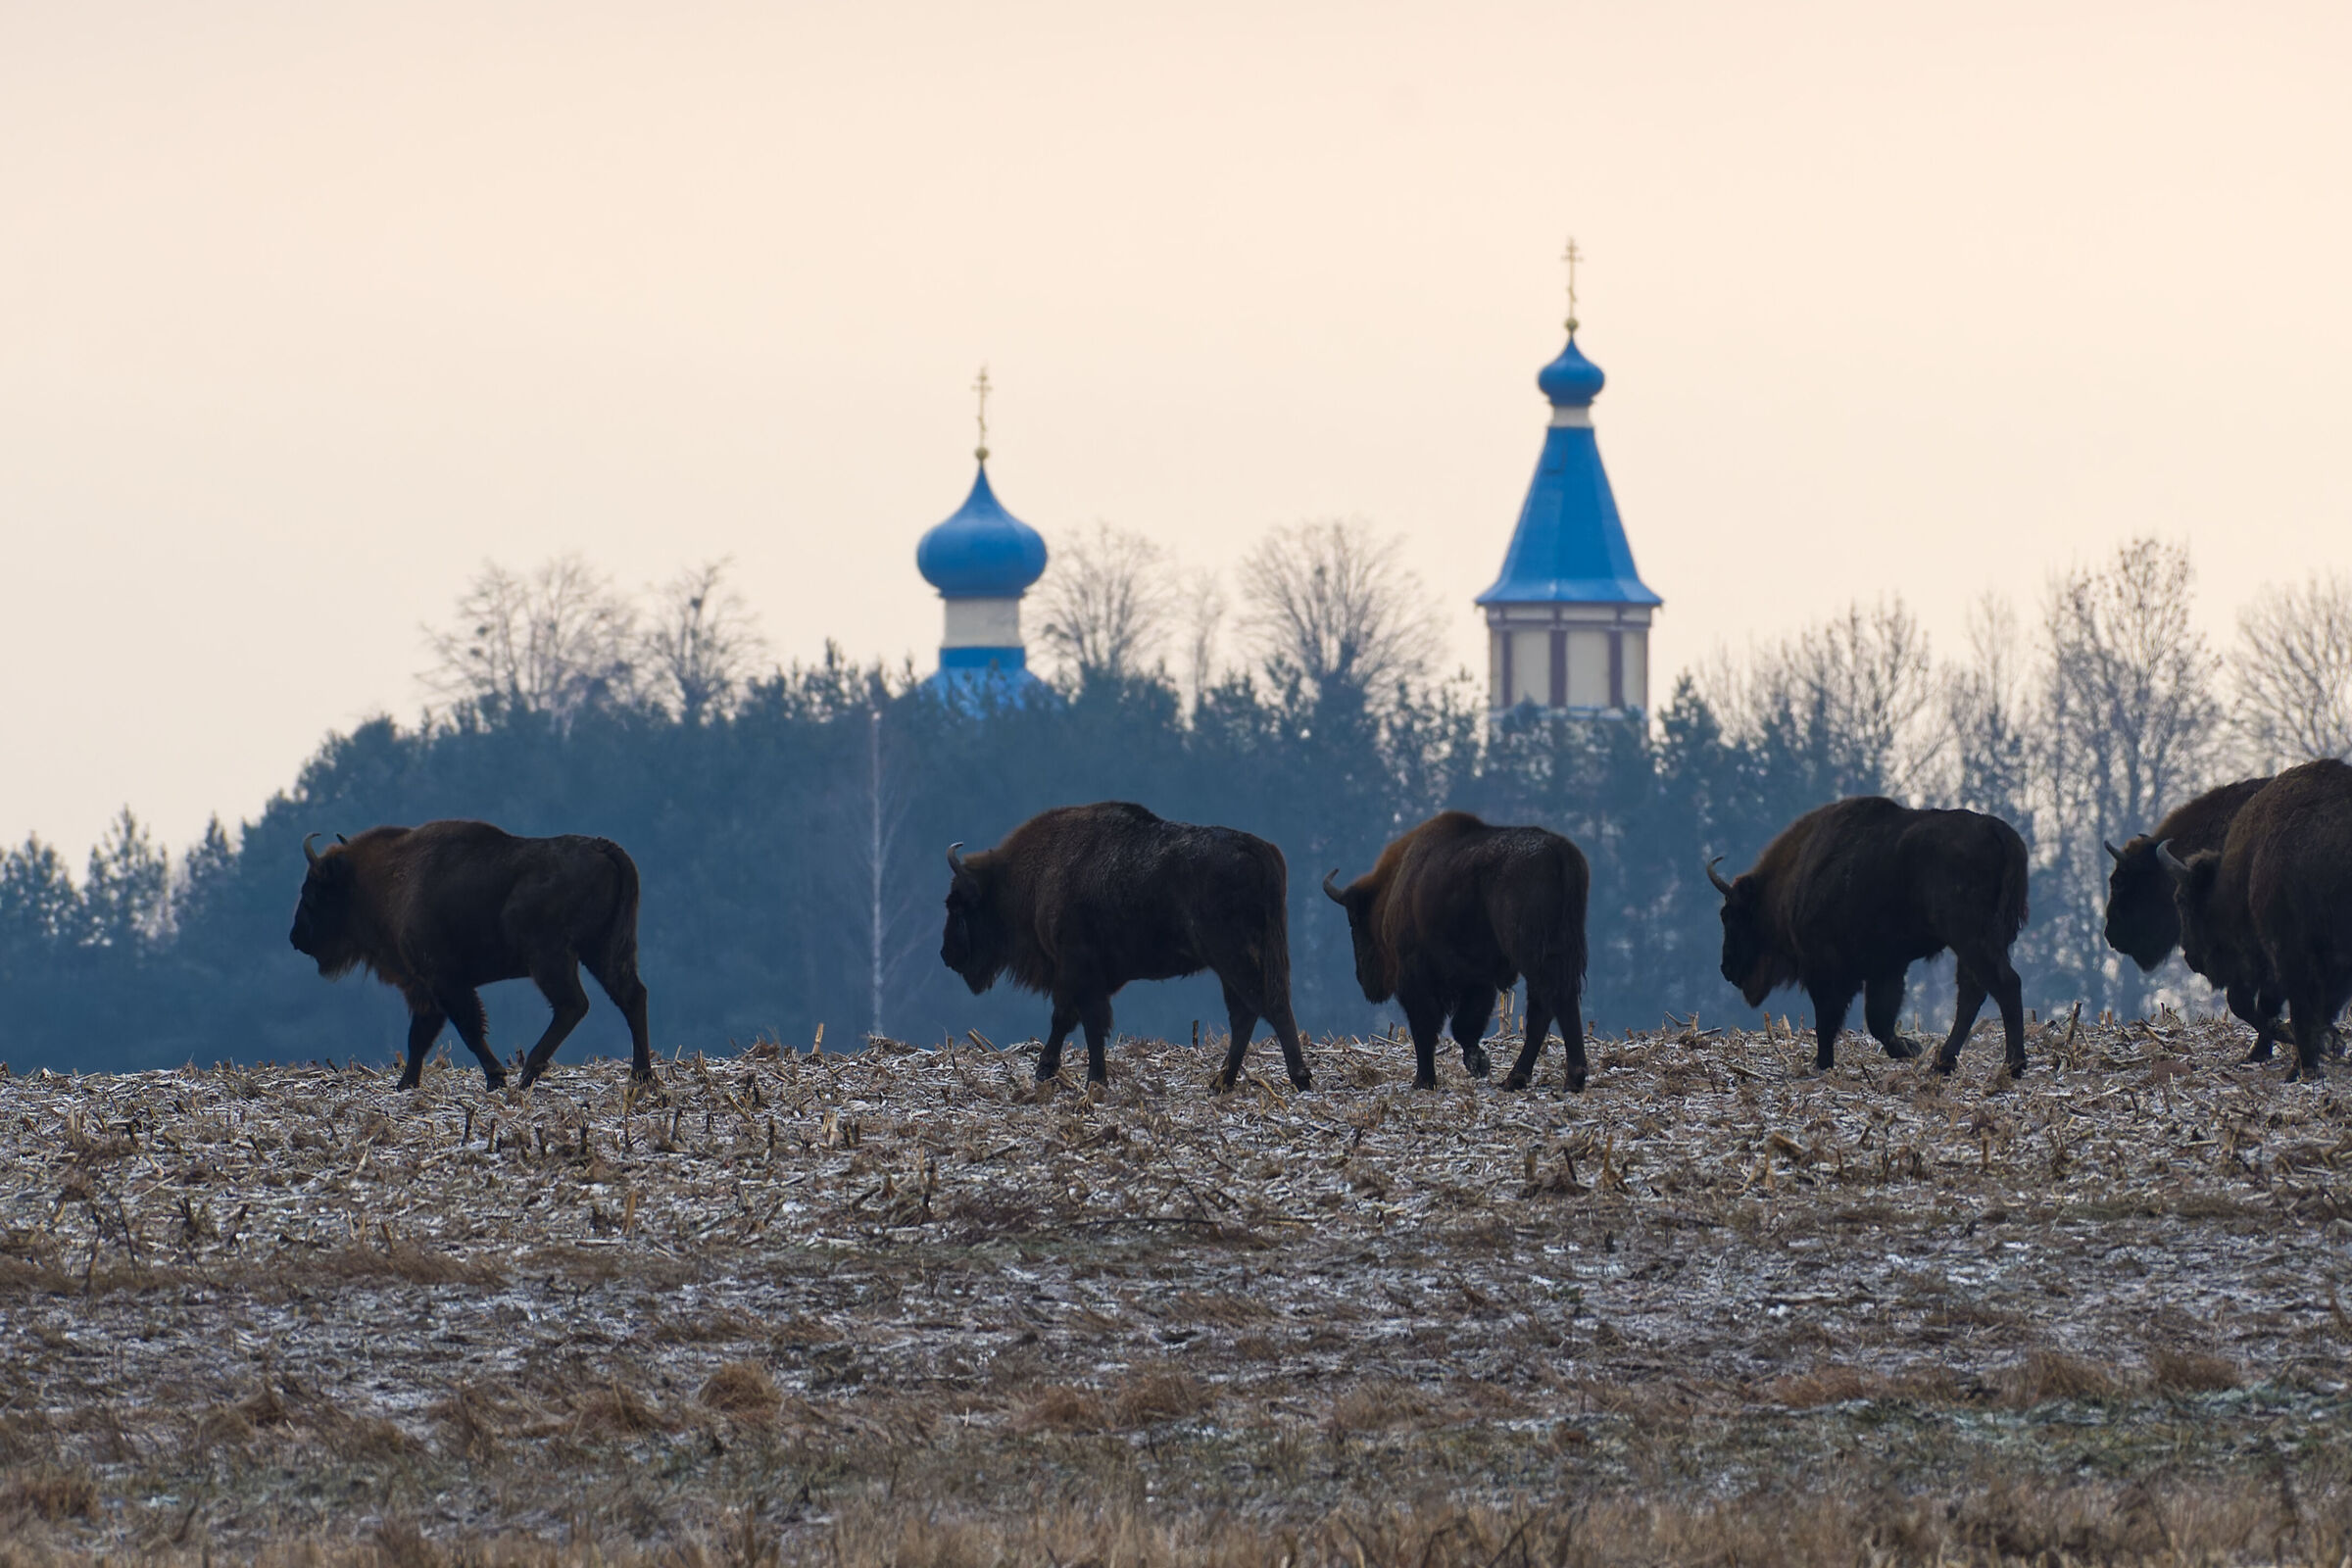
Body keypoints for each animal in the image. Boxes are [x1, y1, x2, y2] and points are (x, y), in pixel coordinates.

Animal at [289, 820, 653, 1090]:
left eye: (312, 891)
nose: (296, 938)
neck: (388, 878)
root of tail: (603, 847)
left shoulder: (444, 981)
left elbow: (468, 1028)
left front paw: (496, 1077)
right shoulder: (427, 989)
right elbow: (419, 1037)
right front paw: (406, 1084)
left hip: (553, 958)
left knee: (573, 1005)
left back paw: (528, 1074)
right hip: (602, 950)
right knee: (631, 996)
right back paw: (641, 1076)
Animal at [940, 801, 1312, 1091]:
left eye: (957, 906)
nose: (947, 955)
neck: (1036, 873)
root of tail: (1259, 851)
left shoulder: (1076, 968)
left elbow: (1079, 1021)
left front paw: (1082, 1077)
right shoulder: (1085, 977)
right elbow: (1078, 1021)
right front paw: (1062, 1073)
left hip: (1233, 957)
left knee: (1268, 1006)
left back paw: (1298, 1079)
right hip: (1236, 962)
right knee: (1248, 1013)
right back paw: (1222, 1083)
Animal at [1323, 811, 1590, 1092]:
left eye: (1354, 919)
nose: (1363, 978)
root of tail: (1560, 852)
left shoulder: (1418, 976)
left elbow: (1426, 1025)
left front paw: (1424, 1080)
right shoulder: (1477, 979)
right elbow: (1465, 1024)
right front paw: (1477, 1063)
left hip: (1533, 956)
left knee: (1547, 1003)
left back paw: (1546, 1077)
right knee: (1555, 1003)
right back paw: (1538, 1078)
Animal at [1708, 797, 2031, 1077]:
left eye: (1731, 917)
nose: (1726, 968)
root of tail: (1997, 830)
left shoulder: (1828, 971)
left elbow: (1829, 1020)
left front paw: (1823, 1063)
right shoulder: (1886, 968)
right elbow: (1879, 1020)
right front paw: (1908, 1049)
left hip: (1970, 938)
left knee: (2003, 984)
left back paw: (2012, 1065)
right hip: (1979, 942)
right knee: (1973, 993)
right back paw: (1944, 1062)